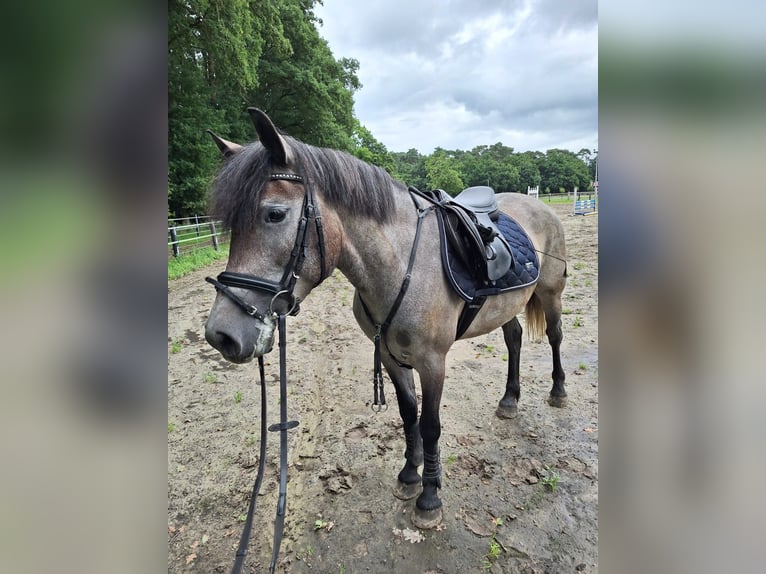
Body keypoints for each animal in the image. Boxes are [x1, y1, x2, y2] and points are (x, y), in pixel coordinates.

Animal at [204, 108, 568, 529]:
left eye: (274, 214)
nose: (221, 334)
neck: (400, 264)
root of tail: (538, 206)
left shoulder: (432, 362)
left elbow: (430, 425)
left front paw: (429, 496)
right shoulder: (393, 358)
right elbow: (409, 415)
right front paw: (410, 475)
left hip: (550, 294)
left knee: (555, 336)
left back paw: (558, 391)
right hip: (507, 305)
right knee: (514, 338)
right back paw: (509, 399)